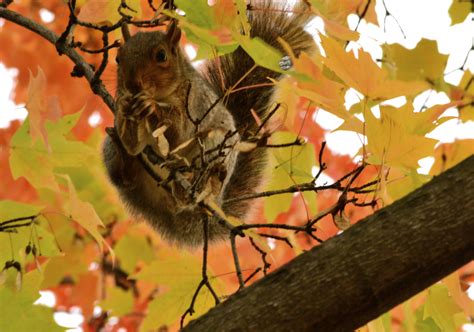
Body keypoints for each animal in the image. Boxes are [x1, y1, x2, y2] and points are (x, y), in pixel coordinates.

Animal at [103, 0, 314, 246]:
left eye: (161, 56)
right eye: (118, 58)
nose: (132, 84)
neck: (163, 95)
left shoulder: (195, 103)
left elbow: (178, 133)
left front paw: (151, 106)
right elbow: (133, 144)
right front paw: (124, 110)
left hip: (216, 146)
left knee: (190, 192)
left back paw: (188, 183)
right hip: (110, 153)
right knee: (126, 177)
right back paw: (124, 157)